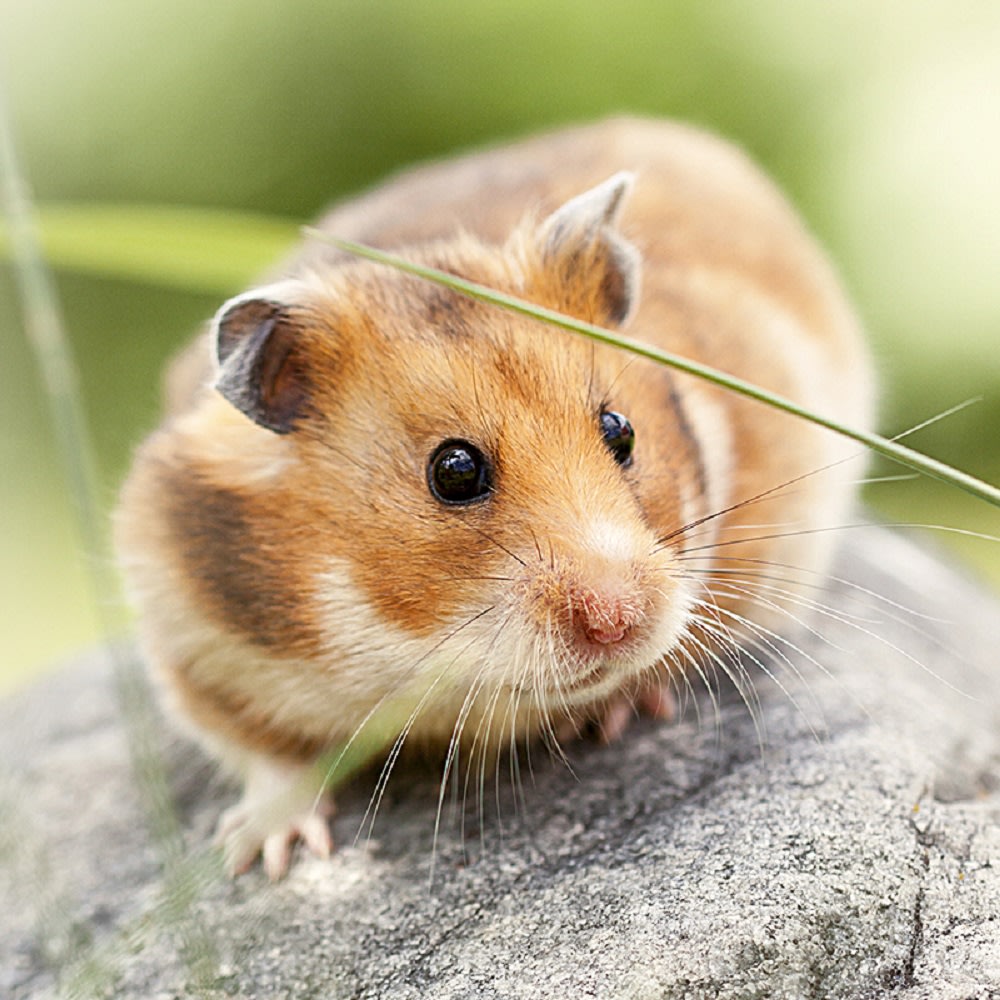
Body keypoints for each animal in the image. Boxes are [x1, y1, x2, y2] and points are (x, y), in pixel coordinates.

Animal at [115, 117, 875, 879]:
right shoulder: (189, 636)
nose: (619, 623)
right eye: (453, 470)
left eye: (620, 430)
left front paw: (618, 712)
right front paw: (266, 857)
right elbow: (263, 754)